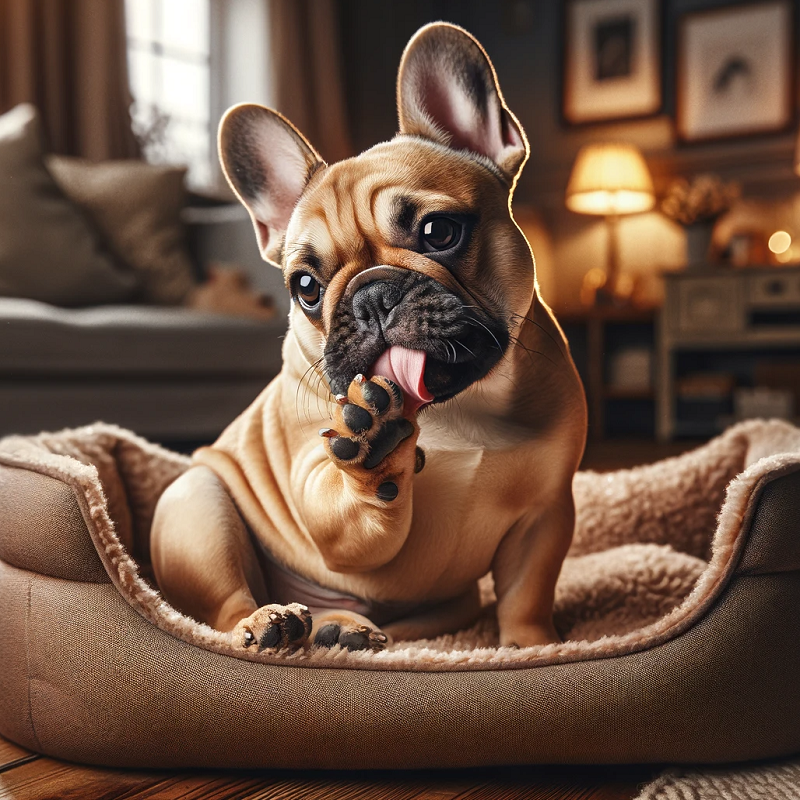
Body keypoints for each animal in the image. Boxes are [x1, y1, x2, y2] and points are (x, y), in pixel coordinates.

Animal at [152, 21, 588, 652]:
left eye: (439, 231)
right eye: (306, 286)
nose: (369, 295)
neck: (459, 408)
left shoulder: (546, 513)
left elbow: (527, 595)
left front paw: (532, 649)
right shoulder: (319, 488)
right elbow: (350, 509)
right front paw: (372, 446)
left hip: (448, 607)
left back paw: (341, 628)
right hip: (197, 505)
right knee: (223, 608)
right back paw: (272, 621)